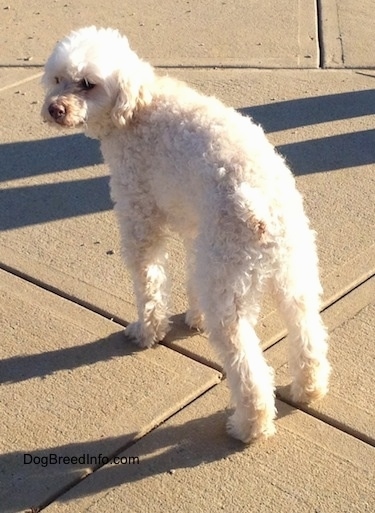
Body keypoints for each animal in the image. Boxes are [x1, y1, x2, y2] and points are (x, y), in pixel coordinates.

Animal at [41, 27, 330, 440]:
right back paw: (308, 390)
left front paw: (147, 332)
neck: (137, 106)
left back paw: (249, 426)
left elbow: (148, 283)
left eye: (88, 84)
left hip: (229, 291)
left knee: (248, 370)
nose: (55, 109)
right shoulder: (198, 230)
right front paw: (194, 317)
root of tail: (260, 207)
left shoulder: (140, 216)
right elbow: (190, 273)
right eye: (58, 78)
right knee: (308, 335)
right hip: (292, 277)